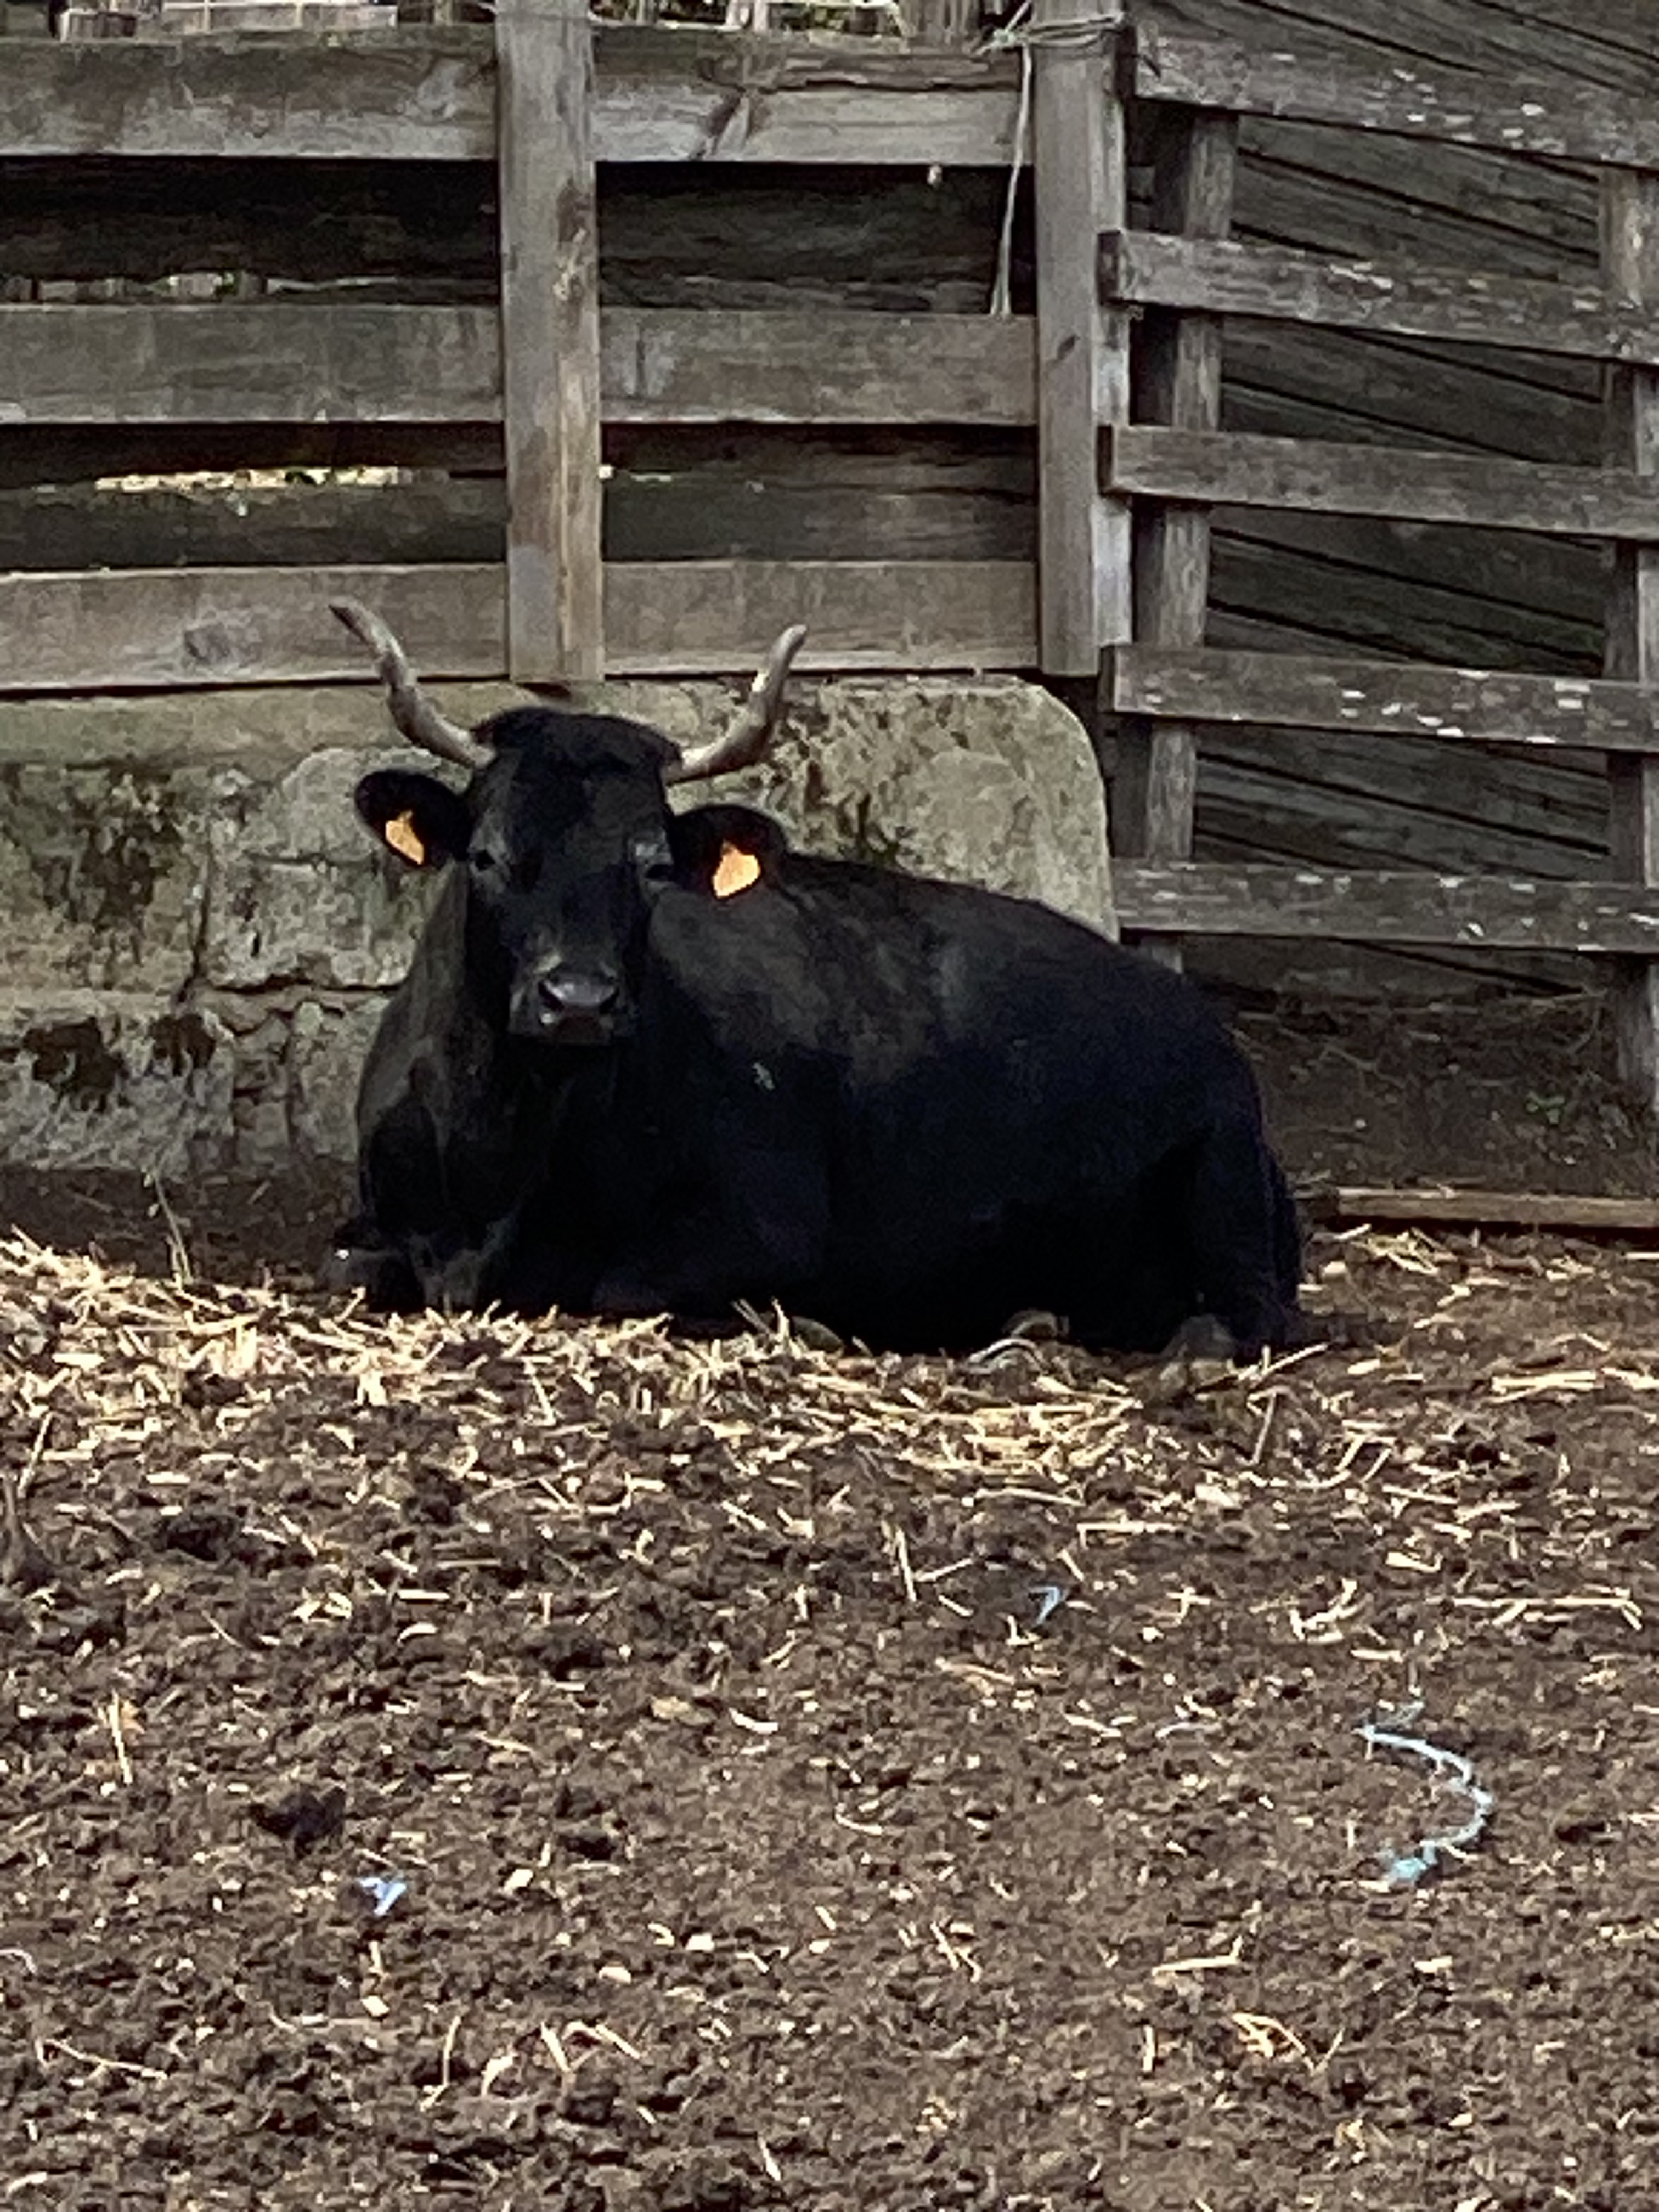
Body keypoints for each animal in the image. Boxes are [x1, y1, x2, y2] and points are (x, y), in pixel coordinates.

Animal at [323, 600, 1302, 1357]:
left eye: (652, 865)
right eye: (487, 856)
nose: (578, 1002)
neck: (504, 1155)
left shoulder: (764, 1219)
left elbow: (622, 1289)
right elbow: (356, 1267)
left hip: (1225, 1188)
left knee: (1250, 1315)